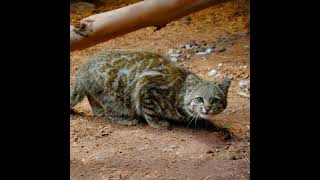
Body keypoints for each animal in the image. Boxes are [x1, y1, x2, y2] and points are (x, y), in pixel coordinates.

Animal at [70, 49, 230, 128]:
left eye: (215, 100)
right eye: (199, 99)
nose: (208, 108)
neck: (179, 92)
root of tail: (84, 69)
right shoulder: (146, 85)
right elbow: (150, 111)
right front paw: (156, 123)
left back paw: (98, 110)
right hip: (114, 95)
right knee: (111, 112)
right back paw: (124, 119)